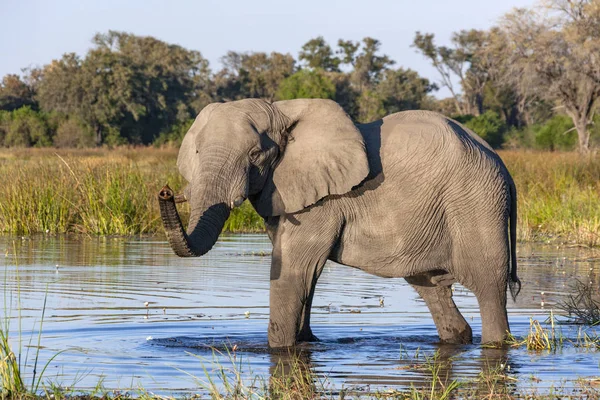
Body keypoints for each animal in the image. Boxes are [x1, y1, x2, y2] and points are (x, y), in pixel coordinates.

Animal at [159, 98, 520, 348]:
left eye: (254, 155)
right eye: (196, 152)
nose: (165, 192)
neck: (280, 111)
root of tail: (502, 164)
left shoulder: (322, 202)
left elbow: (294, 270)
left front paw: (278, 349)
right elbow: (305, 275)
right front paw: (306, 342)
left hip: (476, 204)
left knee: (488, 287)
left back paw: (496, 342)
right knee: (430, 286)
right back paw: (458, 337)